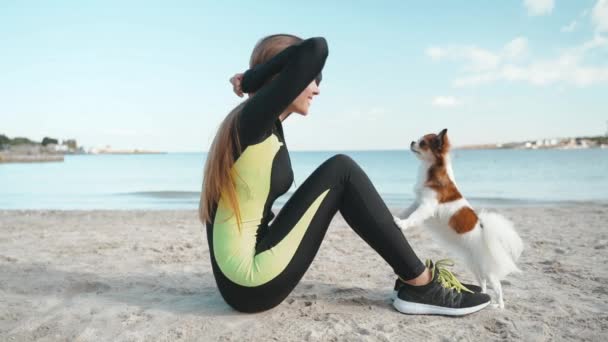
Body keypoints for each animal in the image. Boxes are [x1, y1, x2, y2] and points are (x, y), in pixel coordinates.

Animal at [394, 127, 524, 308]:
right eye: (418, 140)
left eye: (423, 143)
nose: (412, 142)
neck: (431, 169)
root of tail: (483, 230)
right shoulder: (418, 202)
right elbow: (407, 212)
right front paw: (398, 217)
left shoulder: (426, 206)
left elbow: (413, 217)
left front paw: (402, 224)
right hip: (475, 266)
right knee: (483, 282)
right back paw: (481, 295)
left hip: (487, 270)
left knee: (497, 287)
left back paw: (498, 306)